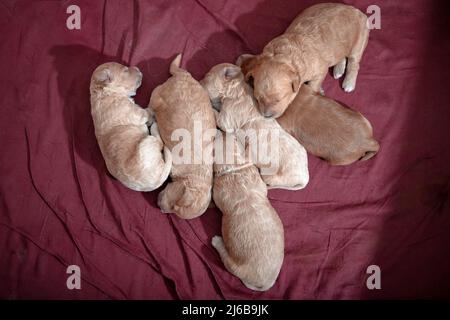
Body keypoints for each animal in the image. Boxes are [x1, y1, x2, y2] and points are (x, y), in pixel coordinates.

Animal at [89, 63, 172, 191]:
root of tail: (158, 181)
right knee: (160, 143)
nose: (137, 68)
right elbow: (147, 111)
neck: (104, 93)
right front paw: (152, 114)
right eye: (126, 70)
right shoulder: (137, 113)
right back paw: (154, 127)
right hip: (147, 142)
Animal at [201, 63, 310, 191]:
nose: (198, 81)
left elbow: (217, 115)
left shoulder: (227, 118)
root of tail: (304, 180)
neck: (236, 89)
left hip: (272, 176)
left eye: (207, 77)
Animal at [239, 2, 370, 117]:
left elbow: (313, 85)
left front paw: (316, 91)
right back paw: (338, 69)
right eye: (257, 99)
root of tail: (356, 10)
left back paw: (349, 83)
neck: (282, 55)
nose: (266, 116)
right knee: (341, 55)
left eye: (278, 100)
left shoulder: (320, 70)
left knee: (354, 63)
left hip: (359, 42)